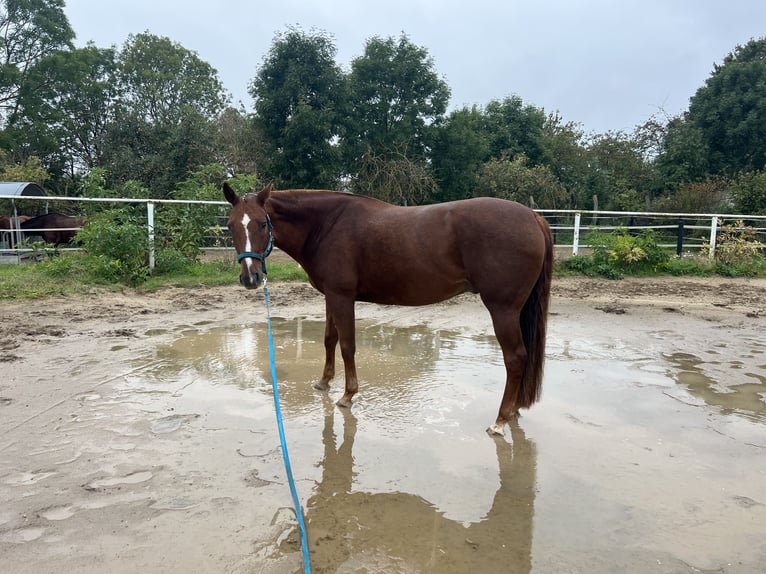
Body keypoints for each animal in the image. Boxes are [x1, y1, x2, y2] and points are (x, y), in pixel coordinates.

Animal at [223, 182, 553, 436]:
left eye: (262, 223)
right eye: (231, 225)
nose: (250, 277)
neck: (326, 224)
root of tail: (533, 218)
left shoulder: (342, 297)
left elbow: (347, 345)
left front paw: (347, 395)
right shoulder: (331, 296)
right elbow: (330, 339)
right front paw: (324, 382)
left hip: (503, 309)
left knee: (515, 358)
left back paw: (500, 420)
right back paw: (514, 410)